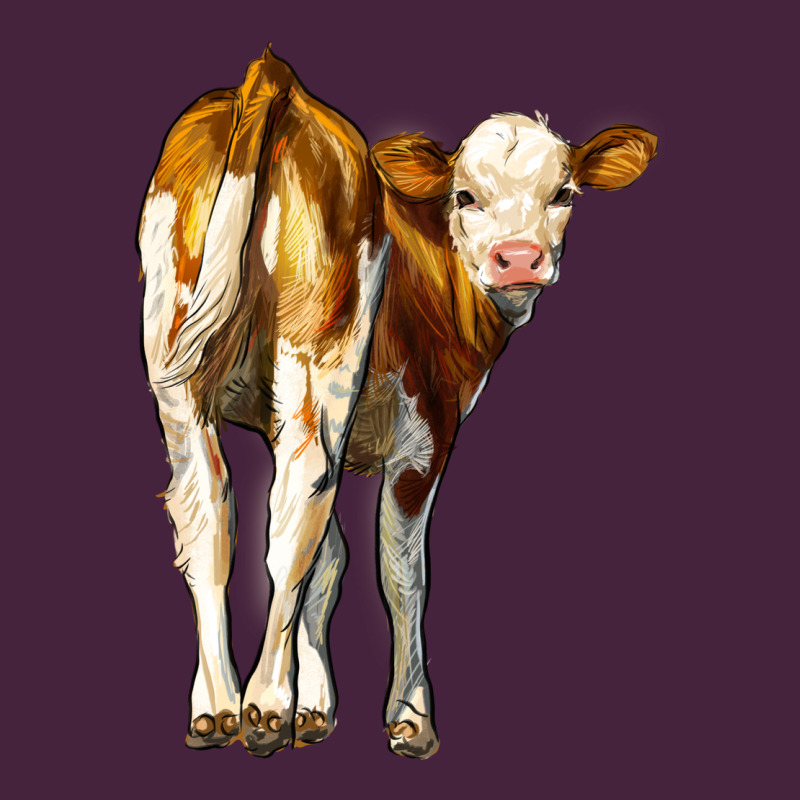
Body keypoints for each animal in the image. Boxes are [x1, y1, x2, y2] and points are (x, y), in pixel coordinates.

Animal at [138, 47, 656, 760]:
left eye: (564, 193)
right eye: (465, 195)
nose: (518, 259)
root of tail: (276, 81)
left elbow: (328, 562)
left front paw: (315, 710)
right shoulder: (426, 432)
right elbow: (400, 571)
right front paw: (408, 717)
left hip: (177, 368)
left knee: (209, 511)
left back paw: (217, 707)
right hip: (320, 359)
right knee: (294, 512)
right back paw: (263, 707)